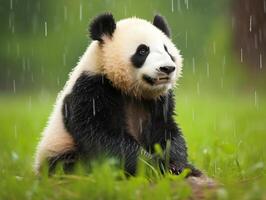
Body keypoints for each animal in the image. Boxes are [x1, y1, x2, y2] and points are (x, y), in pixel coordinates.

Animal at [34, 12, 202, 177]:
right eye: (142, 51)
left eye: (167, 50)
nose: (167, 68)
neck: (131, 90)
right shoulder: (91, 89)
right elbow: (102, 136)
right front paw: (154, 166)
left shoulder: (160, 100)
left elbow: (166, 130)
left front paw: (177, 165)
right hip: (58, 151)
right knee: (69, 166)